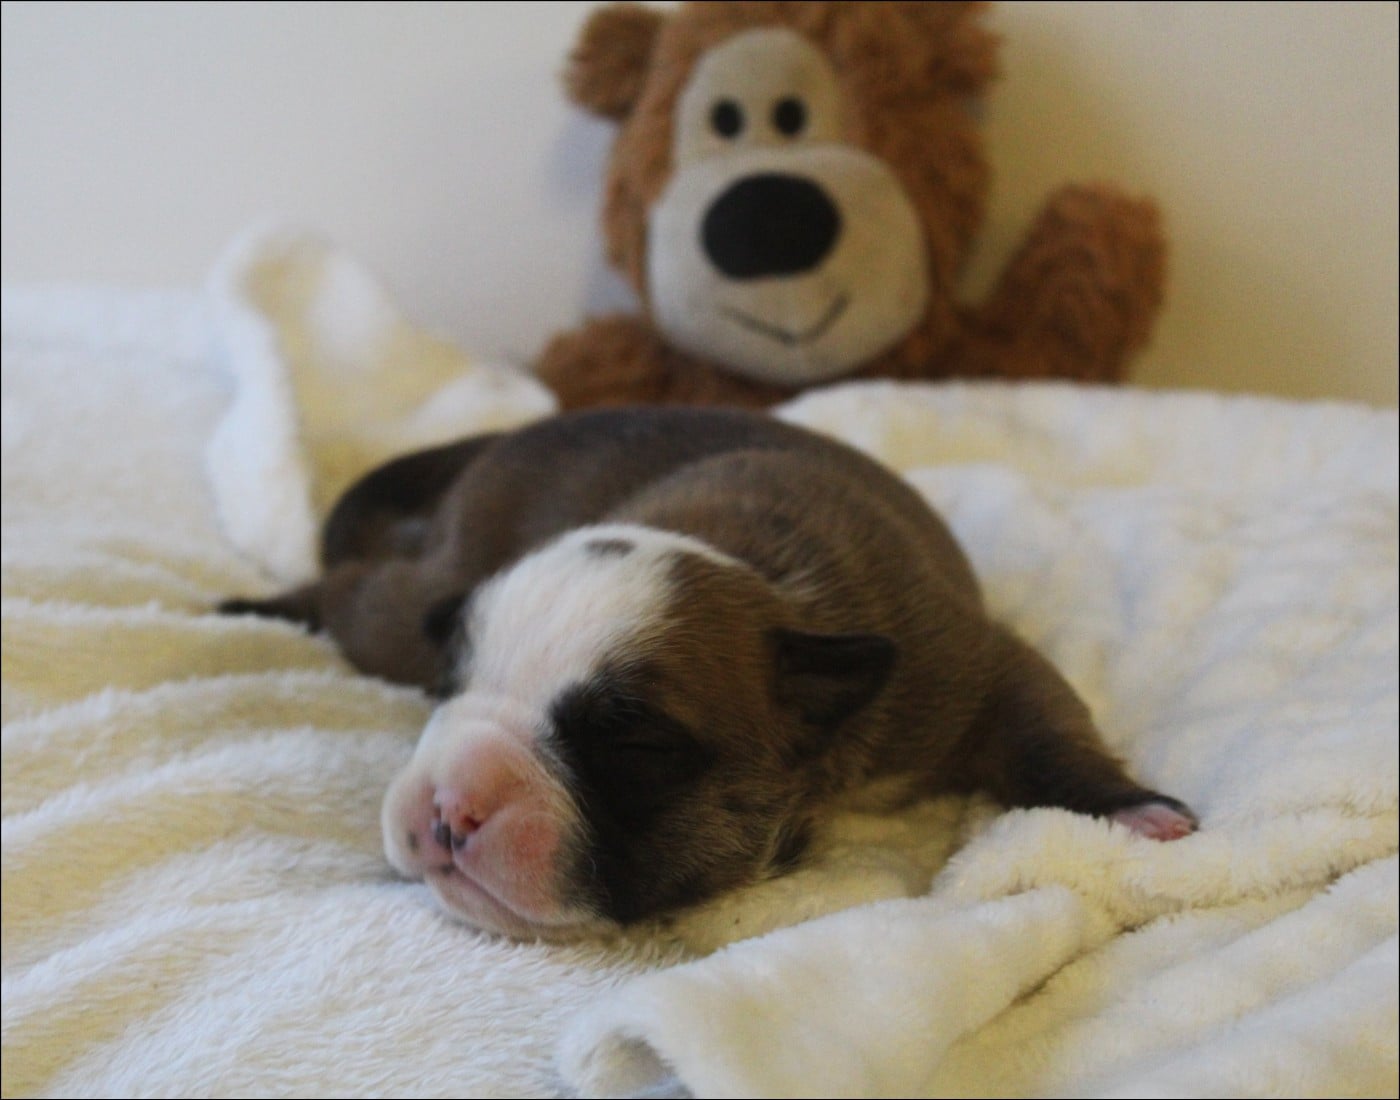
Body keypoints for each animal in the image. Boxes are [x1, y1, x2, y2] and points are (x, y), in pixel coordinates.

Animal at [222, 407, 1196, 938]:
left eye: (633, 747)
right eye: (446, 693)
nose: (444, 803)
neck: (759, 580)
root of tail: (510, 436)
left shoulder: (966, 666)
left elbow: (1044, 727)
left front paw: (1123, 804)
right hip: (413, 602)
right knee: (359, 589)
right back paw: (257, 606)